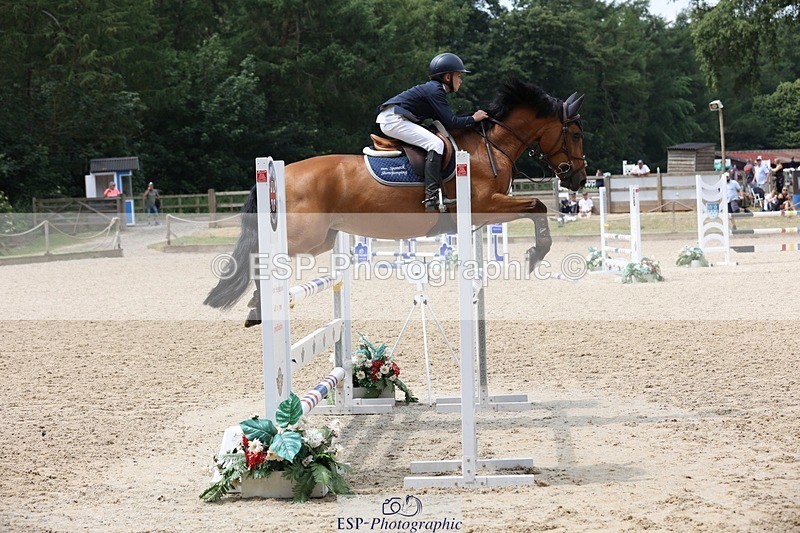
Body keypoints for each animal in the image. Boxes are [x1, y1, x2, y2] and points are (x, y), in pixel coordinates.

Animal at [205, 78, 587, 321]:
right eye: (575, 134)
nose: (579, 179)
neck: (491, 146)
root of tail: (279, 176)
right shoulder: (484, 206)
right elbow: (537, 206)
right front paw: (536, 255)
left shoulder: (485, 212)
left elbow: (536, 208)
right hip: (303, 235)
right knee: (260, 255)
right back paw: (257, 307)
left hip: (322, 239)